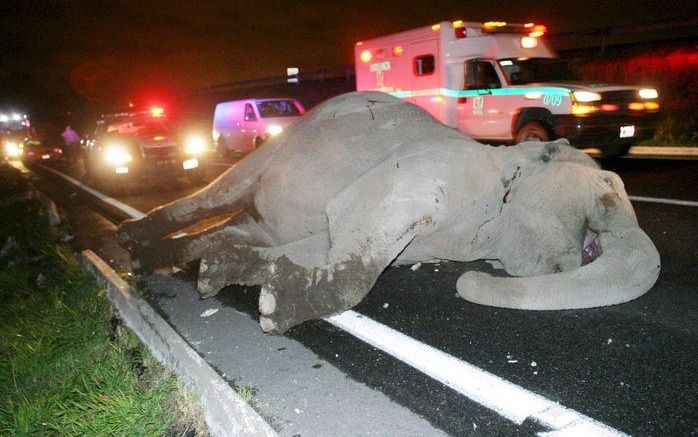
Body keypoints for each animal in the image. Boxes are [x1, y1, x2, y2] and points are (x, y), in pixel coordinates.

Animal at [118, 90, 656, 332]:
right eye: (609, 185)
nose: (467, 282)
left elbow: (327, 240)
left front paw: (239, 277)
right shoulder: (433, 169)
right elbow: (354, 225)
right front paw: (272, 310)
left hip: (261, 213)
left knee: (238, 227)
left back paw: (183, 261)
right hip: (273, 151)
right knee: (215, 195)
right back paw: (132, 242)